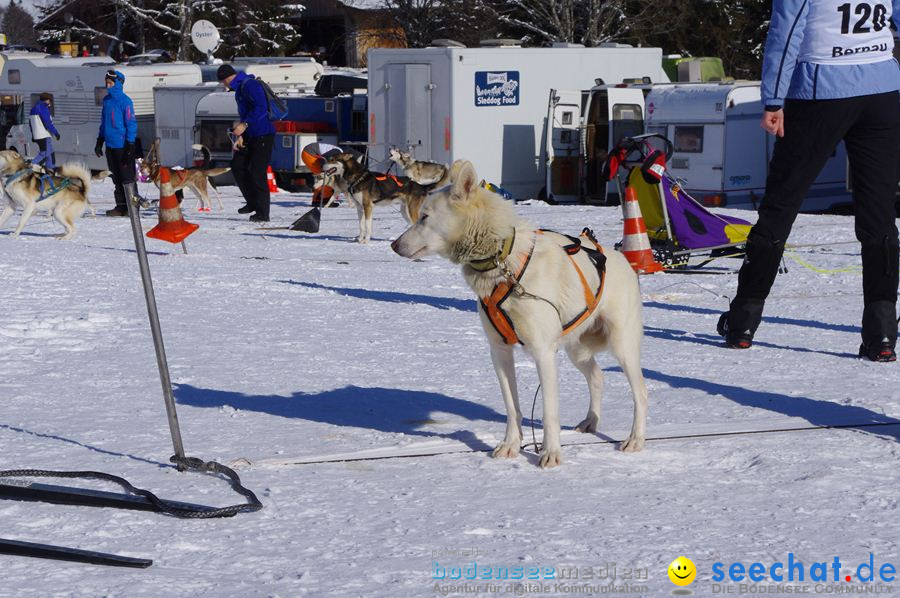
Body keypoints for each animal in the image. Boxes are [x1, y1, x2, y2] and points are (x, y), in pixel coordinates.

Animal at [392, 159, 648, 468]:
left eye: (425, 217)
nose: (394, 245)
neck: (504, 264)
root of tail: (623, 260)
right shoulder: (500, 351)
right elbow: (512, 407)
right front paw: (510, 445)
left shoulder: (543, 352)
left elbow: (549, 411)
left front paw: (551, 453)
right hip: (577, 349)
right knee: (597, 378)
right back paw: (590, 421)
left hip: (622, 346)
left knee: (641, 392)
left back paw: (635, 439)